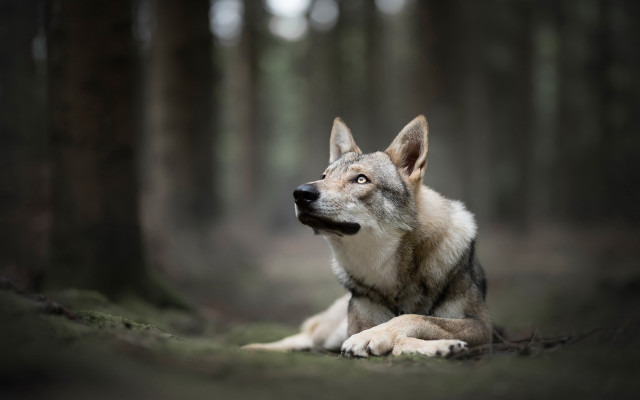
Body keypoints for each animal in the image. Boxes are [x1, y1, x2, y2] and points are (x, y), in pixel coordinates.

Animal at [244, 116, 491, 357]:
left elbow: (412, 319)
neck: (391, 275)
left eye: (361, 179)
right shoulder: (357, 324)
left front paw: (439, 346)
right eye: (324, 176)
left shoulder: (482, 327)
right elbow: (396, 335)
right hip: (328, 334)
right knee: (302, 336)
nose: (300, 193)